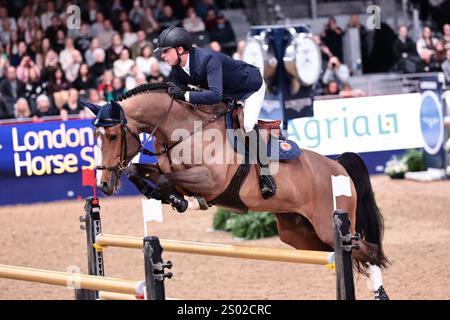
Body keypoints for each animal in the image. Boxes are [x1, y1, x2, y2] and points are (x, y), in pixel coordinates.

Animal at [81, 82, 390, 298]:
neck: (185, 129)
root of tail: (338, 167)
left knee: (369, 250)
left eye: (111, 136)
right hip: (302, 235)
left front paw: (179, 200)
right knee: (348, 255)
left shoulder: (211, 181)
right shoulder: (165, 167)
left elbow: (170, 182)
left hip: (327, 225)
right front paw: (160, 194)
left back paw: (380, 292)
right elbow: (140, 171)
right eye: (96, 135)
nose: (104, 185)